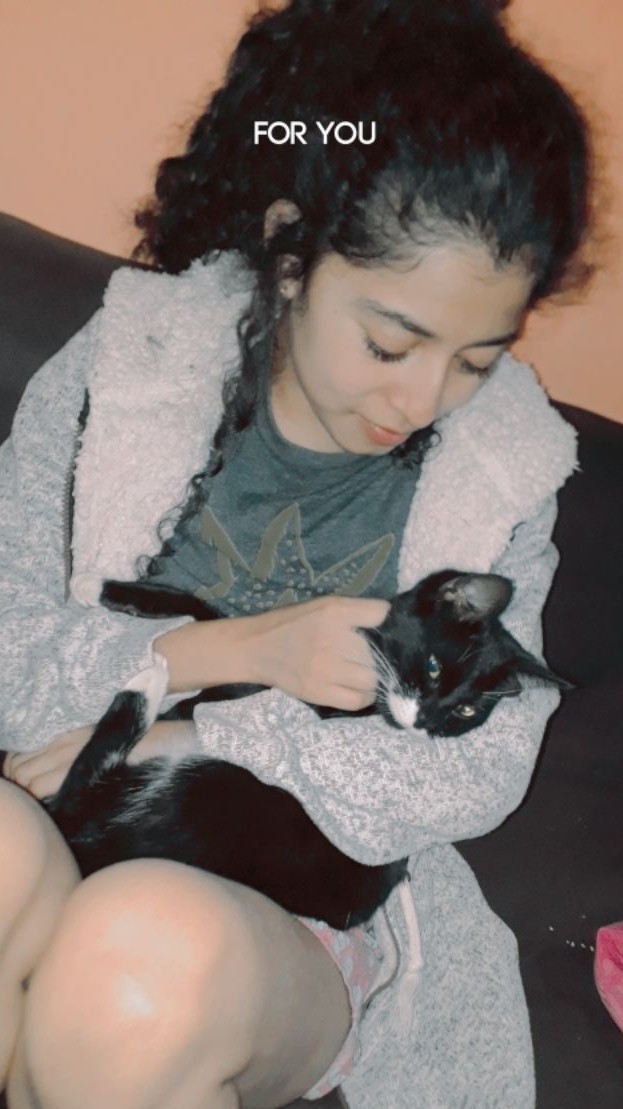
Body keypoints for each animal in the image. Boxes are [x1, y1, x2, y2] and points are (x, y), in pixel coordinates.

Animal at [43, 570, 570, 928]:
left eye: (465, 712)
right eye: (435, 668)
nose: (425, 722)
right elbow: (208, 612)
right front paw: (101, 587)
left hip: (216, 793)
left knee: (88, 780)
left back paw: (147, 685)